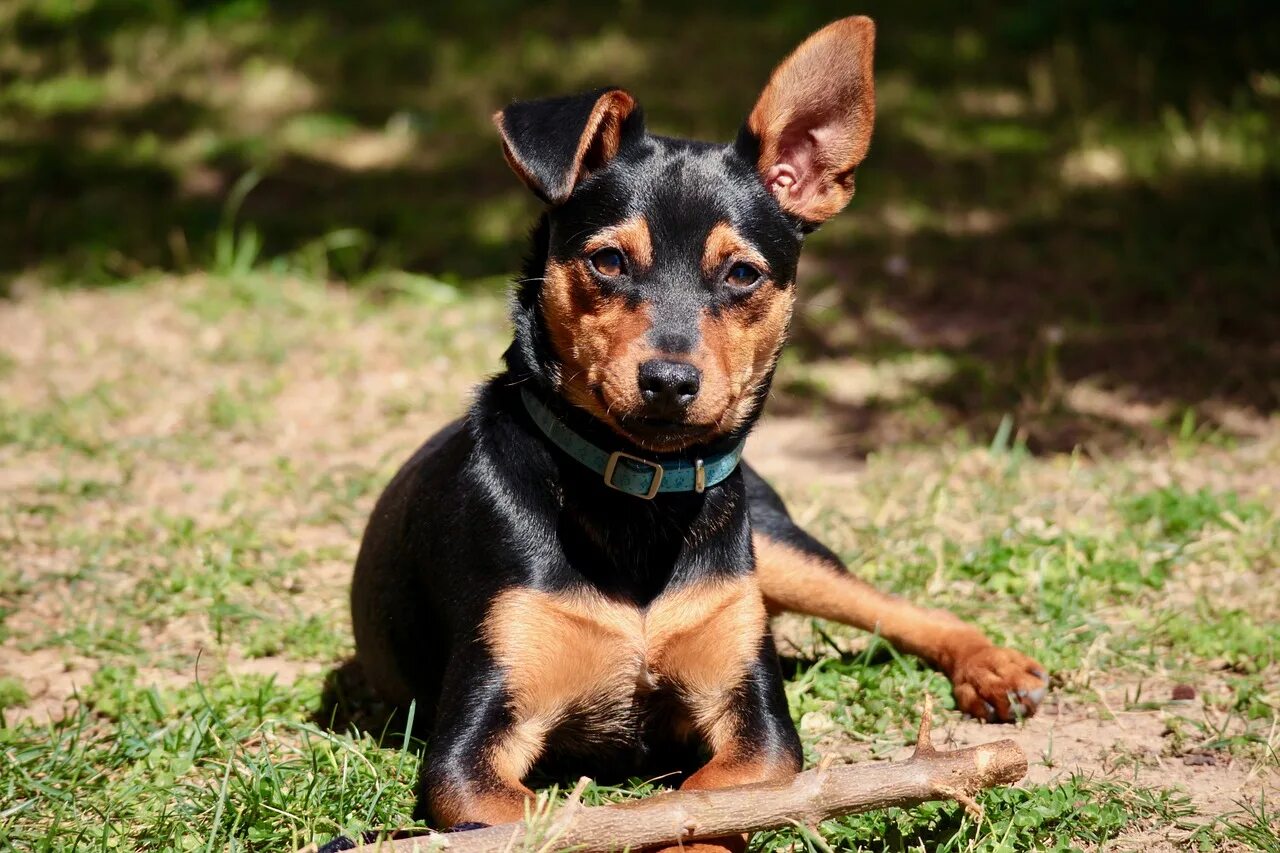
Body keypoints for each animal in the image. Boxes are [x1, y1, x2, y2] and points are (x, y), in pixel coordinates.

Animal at [348, 14, 1039, 845]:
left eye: (742, 273)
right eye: (608, 261)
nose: (670, 382)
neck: (635, 496)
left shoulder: (760, 726)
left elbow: (703, 799)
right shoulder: (466, 753)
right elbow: (563, 819)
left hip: (774, 546)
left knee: (890, 604)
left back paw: (991, 664)